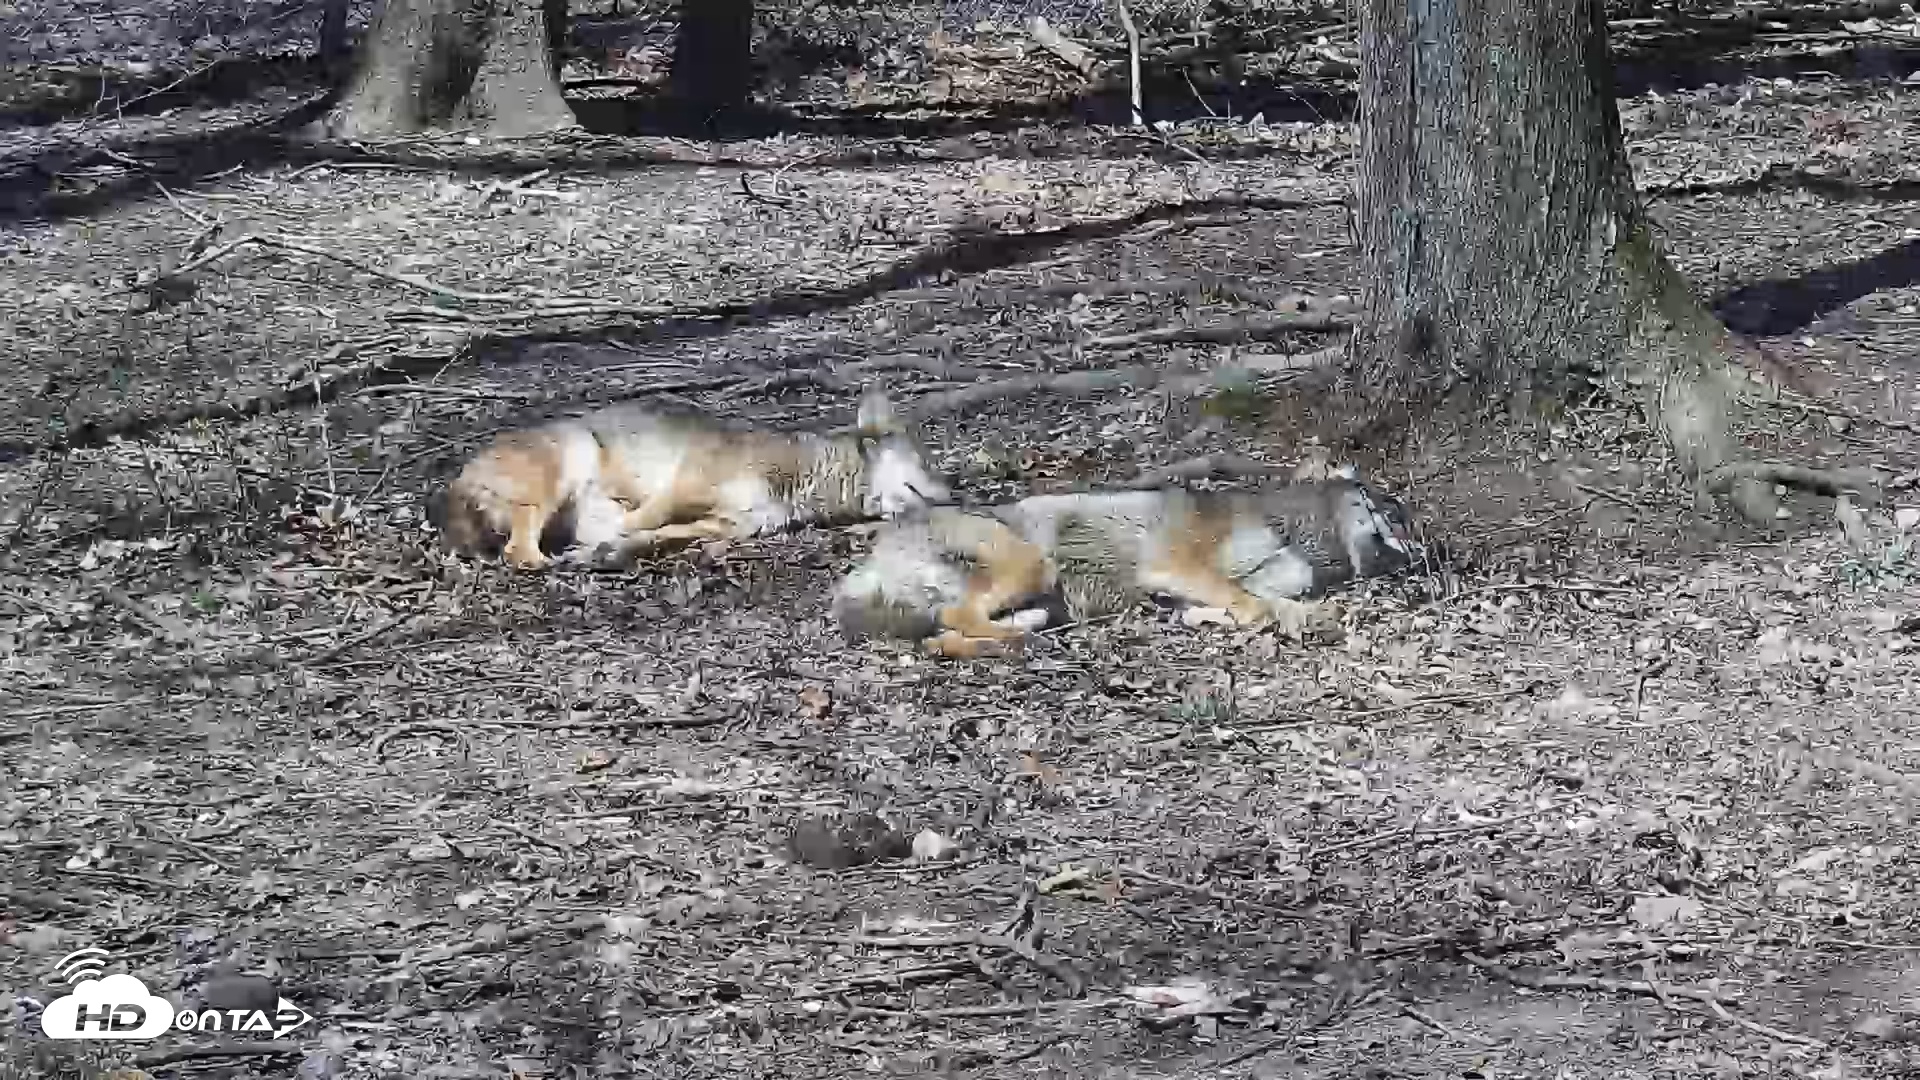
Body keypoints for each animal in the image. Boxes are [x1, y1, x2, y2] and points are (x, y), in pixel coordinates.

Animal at [430, 389, 952, 569]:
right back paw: (547, 560)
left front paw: (611, 549)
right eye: (928, 463)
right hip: (570, 460)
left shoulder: (726, 525)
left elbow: (658, 536)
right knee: (518, 552)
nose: (955, 495)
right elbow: (642, 521)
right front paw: (607, 543)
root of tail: (456, 482)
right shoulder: (687, 481)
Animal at [834, 470, 1421, 658]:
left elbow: (1260, 606)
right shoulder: (1176, 565)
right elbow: (1251, 606)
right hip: (1031, 565)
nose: (1422, 555)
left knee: (944, 634)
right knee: (960, 620)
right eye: (1394, 509)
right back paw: (1024, 641)